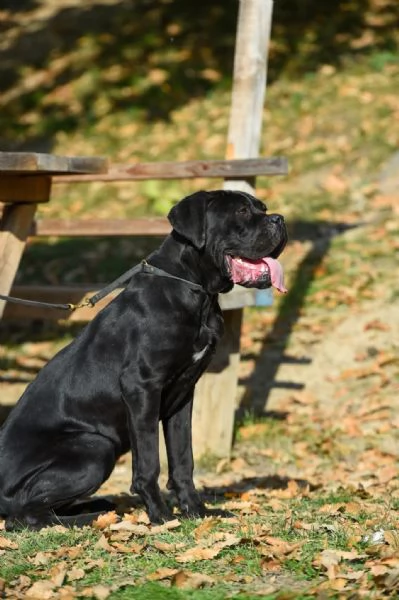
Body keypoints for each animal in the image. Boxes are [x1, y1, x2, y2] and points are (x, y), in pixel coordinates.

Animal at [0, 191, 288, 528]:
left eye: (263, 208)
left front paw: (196, 511)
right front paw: (161, 516)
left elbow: (183, 459)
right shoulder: (142, 387)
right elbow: (149, 461)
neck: (195, 290)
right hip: (95, 447)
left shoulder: (183, 395)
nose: (279, 219)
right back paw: (94, 518)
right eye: (242, 211)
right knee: (25, 514)